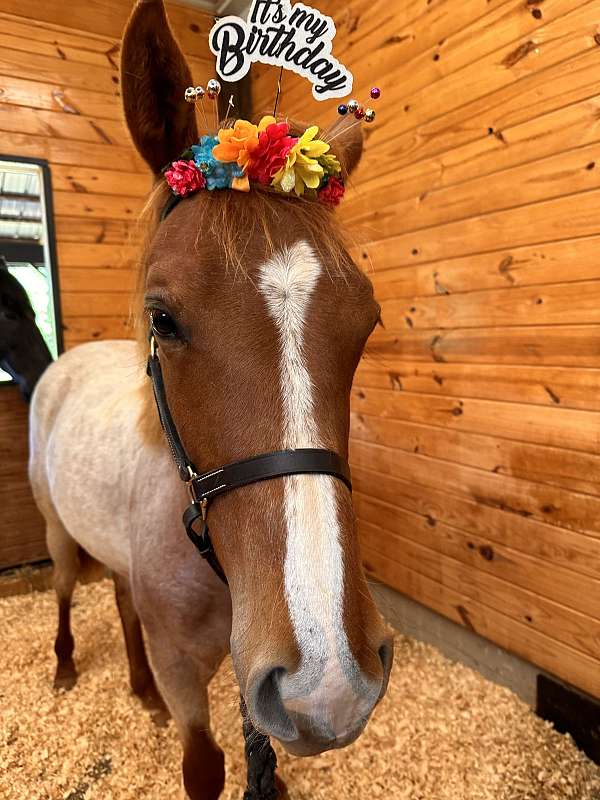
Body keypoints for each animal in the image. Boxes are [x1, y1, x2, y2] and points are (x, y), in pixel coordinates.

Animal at [28, 3, 394, 796]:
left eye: (368, 322)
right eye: (163, 318)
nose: (332, 679)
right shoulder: (188, 677)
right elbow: (203, 765)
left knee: (122, 597)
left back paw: (137, 689)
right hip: (57, 531)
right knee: (69, 588)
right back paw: (68, 667)